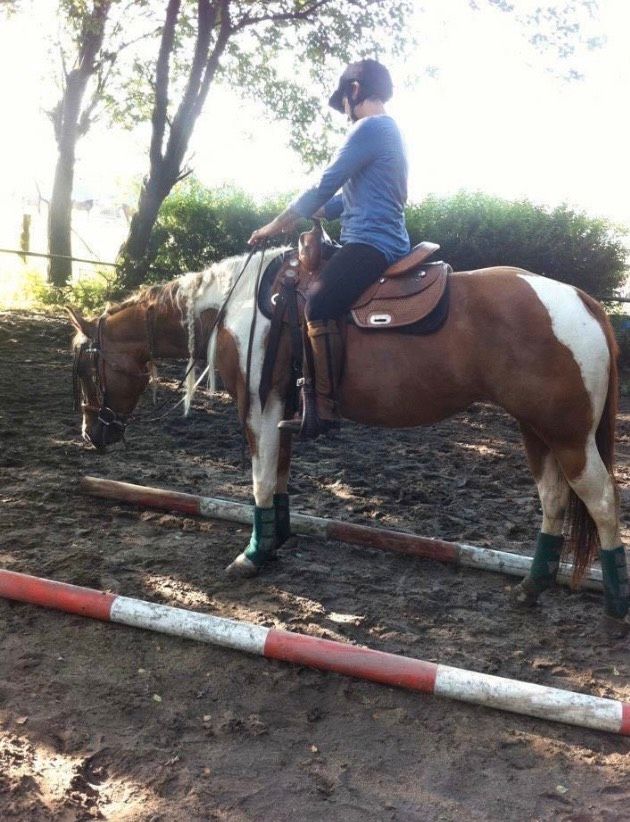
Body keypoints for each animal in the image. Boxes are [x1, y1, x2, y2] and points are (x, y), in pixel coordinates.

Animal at [66, 245, 628, 636]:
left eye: (86, 369)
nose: (94, 435)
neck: (239, 306)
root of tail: (582, 301)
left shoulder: (259, 409)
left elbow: (259, 482)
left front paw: (252, 556)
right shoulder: (284, 414)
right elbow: (279, 479)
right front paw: (275, 543)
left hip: (568, 436)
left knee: (601, 502)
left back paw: (614, 608)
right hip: (536, 431)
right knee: (555, 500)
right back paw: (531, 588)